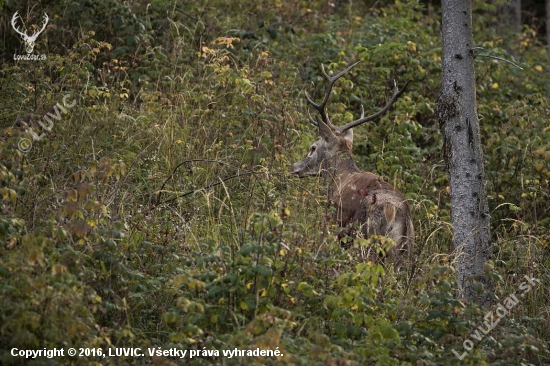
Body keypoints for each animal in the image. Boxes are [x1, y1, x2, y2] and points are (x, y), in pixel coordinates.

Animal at [294, 62, 414, 268]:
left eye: (313, 147)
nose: (295, 167)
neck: (338, 179)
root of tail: (394, 211)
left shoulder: (336, 221)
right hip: (408, 244)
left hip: (367, 236)